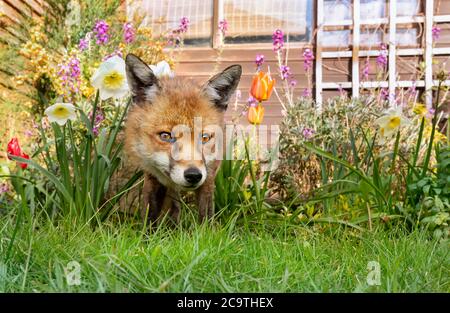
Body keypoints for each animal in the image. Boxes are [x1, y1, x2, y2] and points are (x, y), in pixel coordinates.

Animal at [123, 54, 243, 224]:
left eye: (204, 137)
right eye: (166, 136)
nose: (193, 175)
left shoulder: (209, 173)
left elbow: (206, 215)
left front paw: (207, 230)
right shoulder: (152, 173)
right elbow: (150, 212)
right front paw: (148, 231)